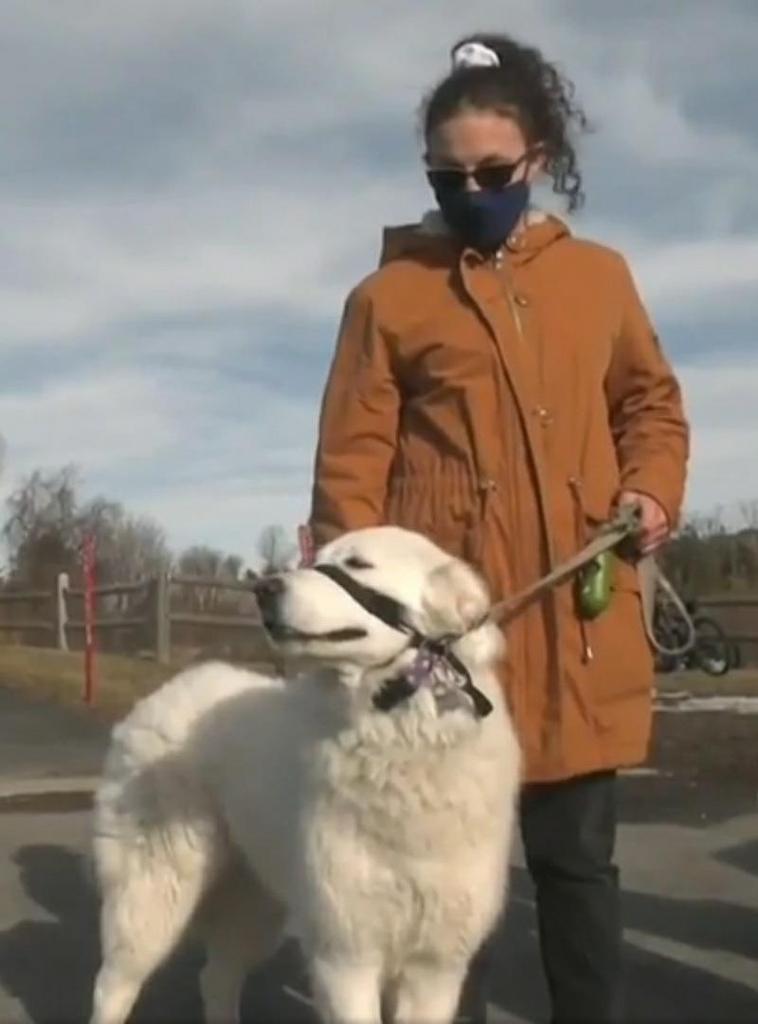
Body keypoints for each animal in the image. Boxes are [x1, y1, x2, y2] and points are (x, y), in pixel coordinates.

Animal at [87, 524, 520, 1019]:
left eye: (357, 564)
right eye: (315, 561)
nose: (264, 588)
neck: (400, 737)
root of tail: (169, 690)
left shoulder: (436, 968)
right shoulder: (345, 955)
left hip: (255, 904)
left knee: (216, 977)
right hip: (153, 894)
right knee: (114, 986)